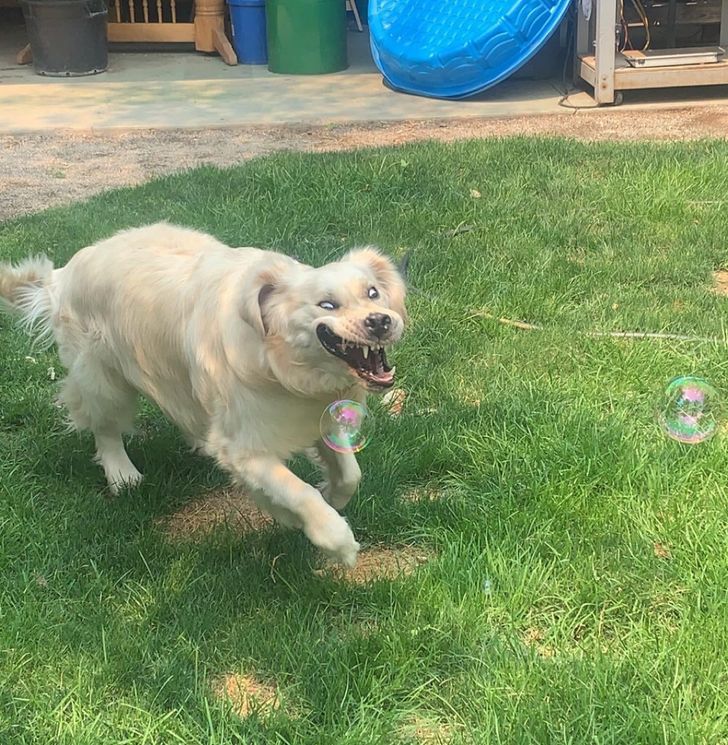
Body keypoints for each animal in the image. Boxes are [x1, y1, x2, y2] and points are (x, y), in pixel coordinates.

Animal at [0, 221, 404, 564]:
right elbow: (297, 490)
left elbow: (350, 473)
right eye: (327, 304)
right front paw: (336, 540)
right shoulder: (245, 447)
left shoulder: (318, 415)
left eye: (373, 293)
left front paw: (328, 496)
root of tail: (63, 273)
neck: (279, 362)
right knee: (106, 428)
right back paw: (122, 474)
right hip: (101, 378)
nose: (380, 321)